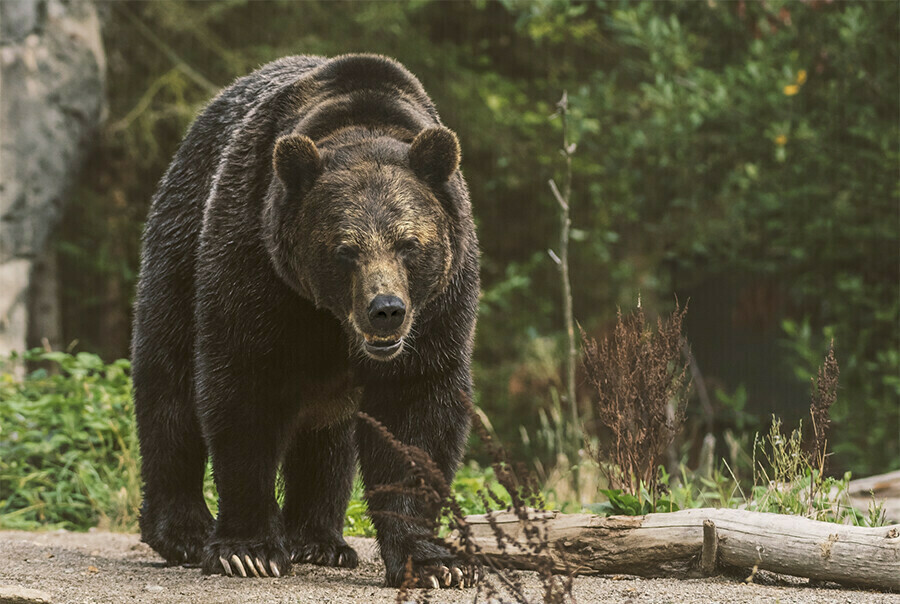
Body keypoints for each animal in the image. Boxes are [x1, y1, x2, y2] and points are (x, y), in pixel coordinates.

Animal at [131, 54, 479, 588]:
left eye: (408, 243)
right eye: (344, 250)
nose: (386, 310)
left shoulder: (440, 308)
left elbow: (416, 413)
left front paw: (434, 562)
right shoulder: (256, 265)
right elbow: (242, 393)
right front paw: (248, 551)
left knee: (327, 437)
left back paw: (320, 541)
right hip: (179, 247)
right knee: (168, 388)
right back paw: (183, 531)